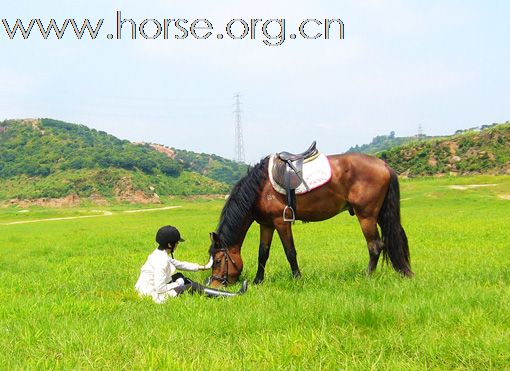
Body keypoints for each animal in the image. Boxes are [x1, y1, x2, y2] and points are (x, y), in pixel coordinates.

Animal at [207, 152, 410, 288]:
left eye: (217, 261)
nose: (214, 286)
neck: (260, 188)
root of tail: (384, 165)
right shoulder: (266, 224)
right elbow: (263, 253)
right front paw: (258, 281)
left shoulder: (281, 222)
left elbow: (290, 252)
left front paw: (297, 279)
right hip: (379, 215)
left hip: (366, 215)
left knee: (375, 246)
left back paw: (367, 277)